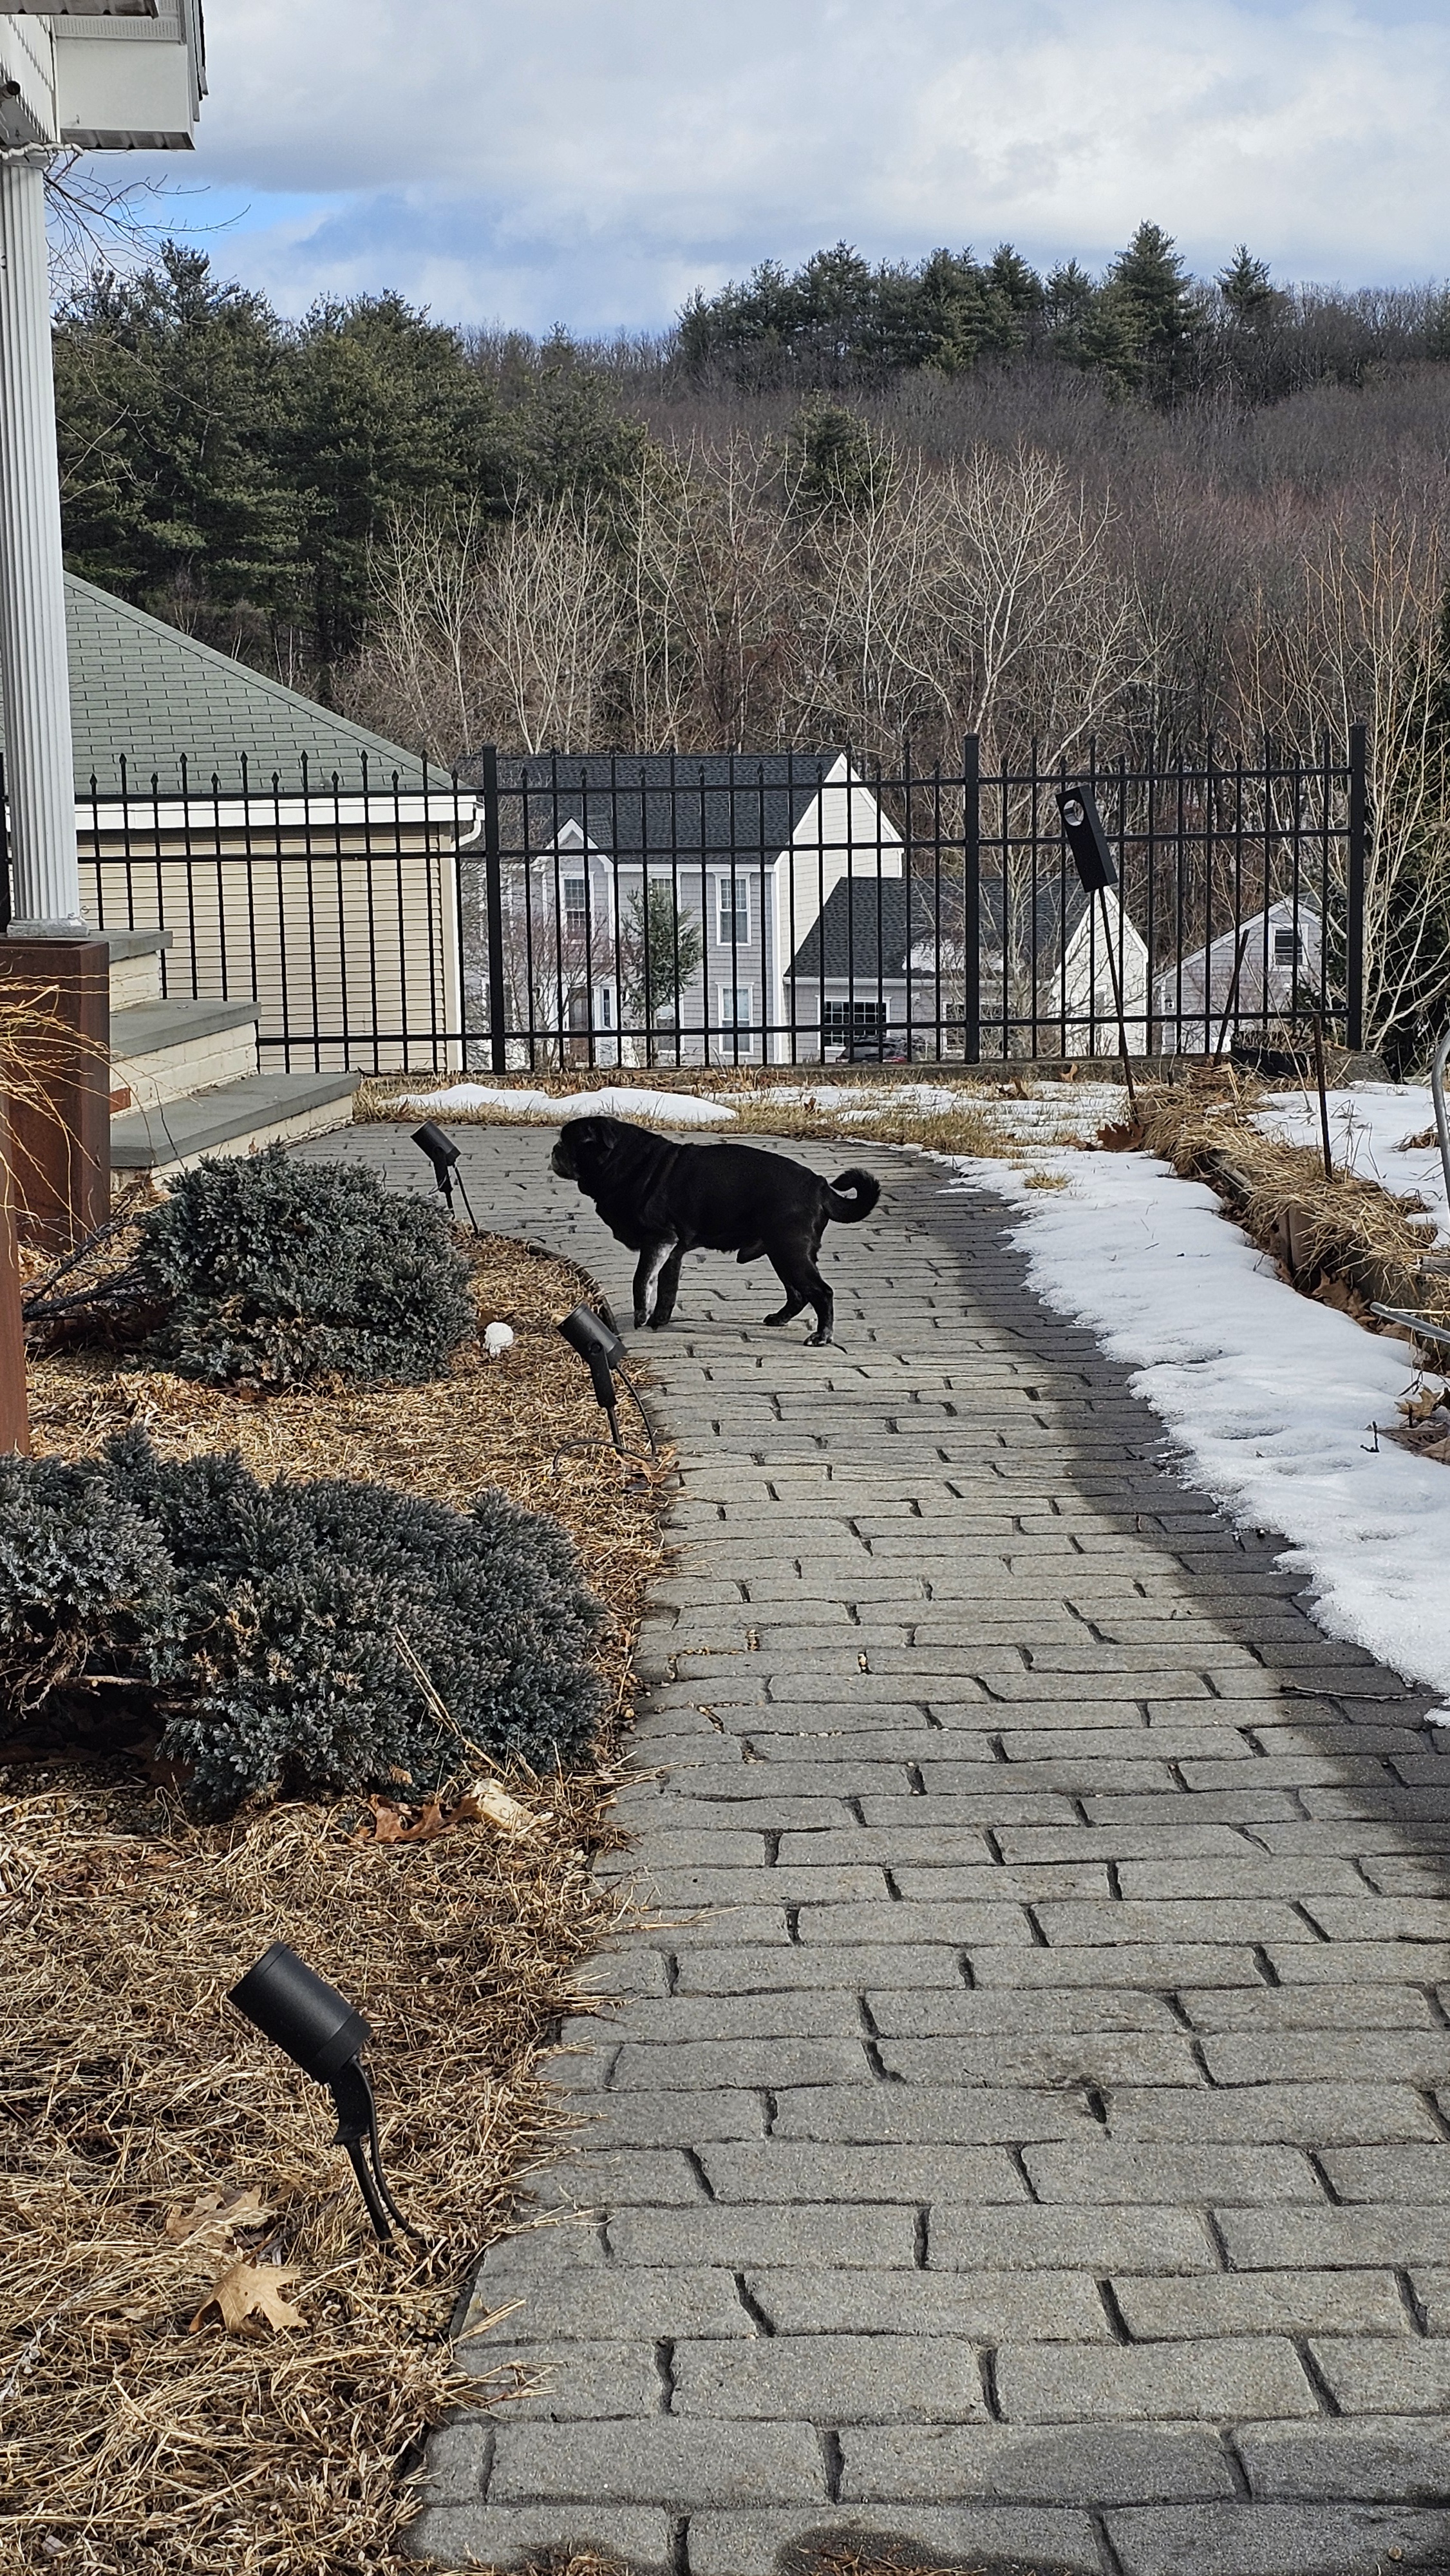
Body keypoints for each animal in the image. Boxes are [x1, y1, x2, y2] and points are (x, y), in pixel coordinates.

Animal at [551, 1113, 881, 1350]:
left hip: (790, 1252)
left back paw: (822, 1336)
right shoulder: (672, 1252)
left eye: (571, 1143)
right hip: (784, 1254)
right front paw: (660, 1320)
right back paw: (780, 1319)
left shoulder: (659, 1240)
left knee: (822, 1293)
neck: (624, 1161)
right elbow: (667, 1289)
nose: (554, 1150)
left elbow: (642, 1279)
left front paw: (642, 1316)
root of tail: (821, 1187)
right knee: (799, 1294)